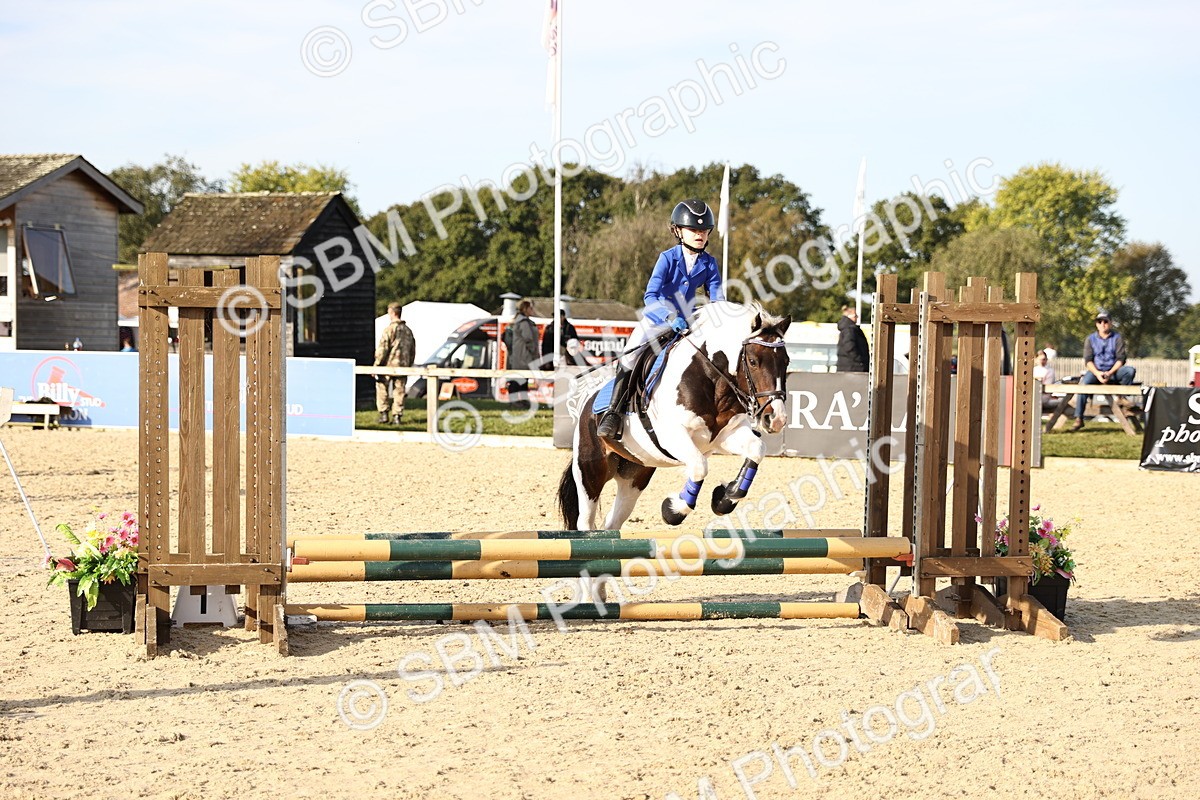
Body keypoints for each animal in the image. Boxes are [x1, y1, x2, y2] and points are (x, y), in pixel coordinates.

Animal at [557, 301, 791, 532]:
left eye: (786, 362)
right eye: (752, 361)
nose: (776, 419)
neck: (713, 381)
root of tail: (587, 403)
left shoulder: (725, 435)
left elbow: (756, 449)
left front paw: (725, 497)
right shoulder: (672, 436)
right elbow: (699, 466)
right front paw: (672, 510)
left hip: (634, 475)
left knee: (613, 521)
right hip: (590, 473)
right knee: (585, 521)